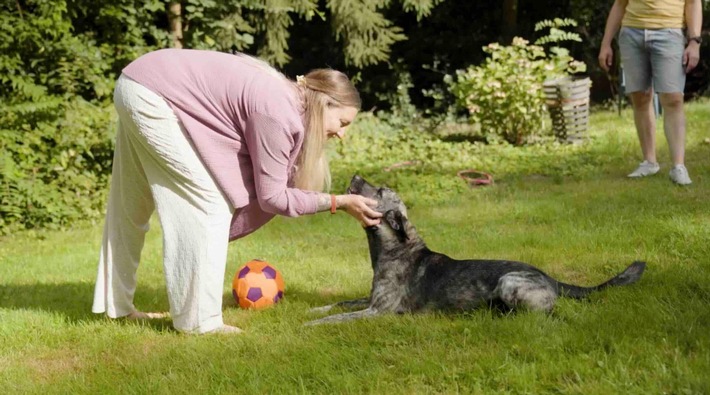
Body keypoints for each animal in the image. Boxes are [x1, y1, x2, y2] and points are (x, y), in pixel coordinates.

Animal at [304, 176, 648, 324]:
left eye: (380, 191)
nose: (354, 176)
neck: (395, 249)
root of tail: (551, 278)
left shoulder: (378, 311)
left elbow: (336, 319)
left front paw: (308, 325)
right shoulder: (368, 300)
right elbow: (339, 304)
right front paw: (314, 310)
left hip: (510, 282)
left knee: (546, 314)